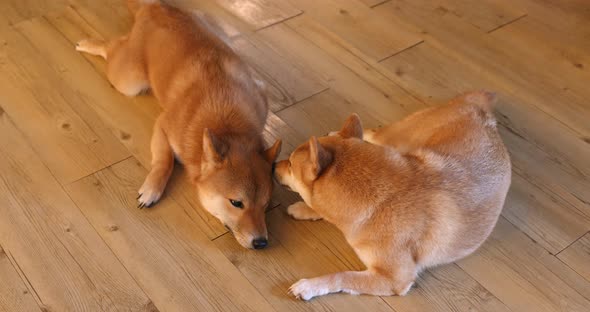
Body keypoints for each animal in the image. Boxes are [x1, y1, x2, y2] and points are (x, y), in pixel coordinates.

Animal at [76, 0, 282, 249]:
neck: (229, 123)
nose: (261, 242)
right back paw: (90, 44)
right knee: (113, 46)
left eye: (266, 204)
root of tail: (156, 6)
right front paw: (152, 189)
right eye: (236, 203)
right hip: (130, 81)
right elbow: (165, 162)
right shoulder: (164, 125)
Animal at [276, 91, 512, 300]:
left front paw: (309, 285)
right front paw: (303, 208)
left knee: (374, 132)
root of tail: (479, 109)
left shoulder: (392, 279)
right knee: (371, 132)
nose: (272, 166)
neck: (379, 202)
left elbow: (341, 276)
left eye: (290, 164)